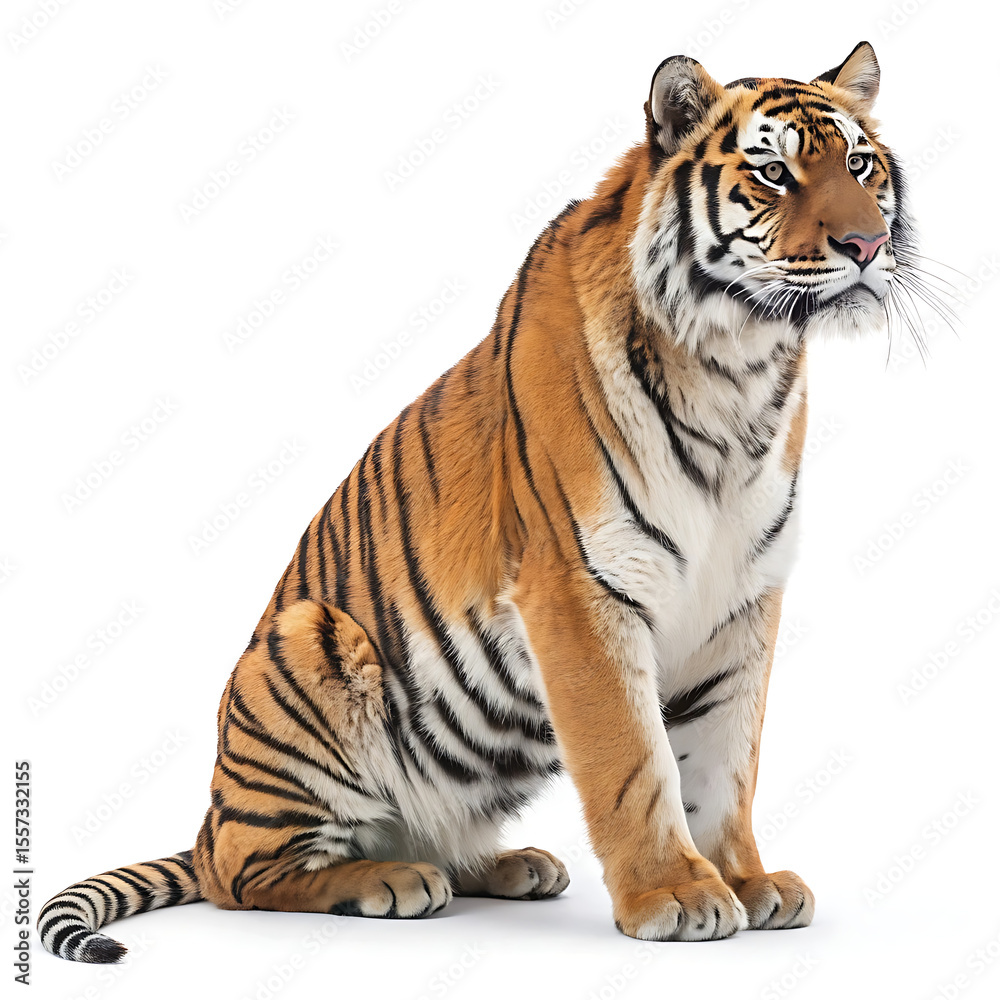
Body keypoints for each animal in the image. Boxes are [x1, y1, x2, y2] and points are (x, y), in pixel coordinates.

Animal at [40, 40, 919, 961]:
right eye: (775, 173)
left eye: (859, 164)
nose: (868, 243)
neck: (740, 367)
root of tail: (204, 827)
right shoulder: (578, 586)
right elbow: (632, 760)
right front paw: (675, 895)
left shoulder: (743, 595)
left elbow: (725, 759)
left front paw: (747, 880)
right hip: (304, 645)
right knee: (246, 874)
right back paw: (389, 881)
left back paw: (505, 864)